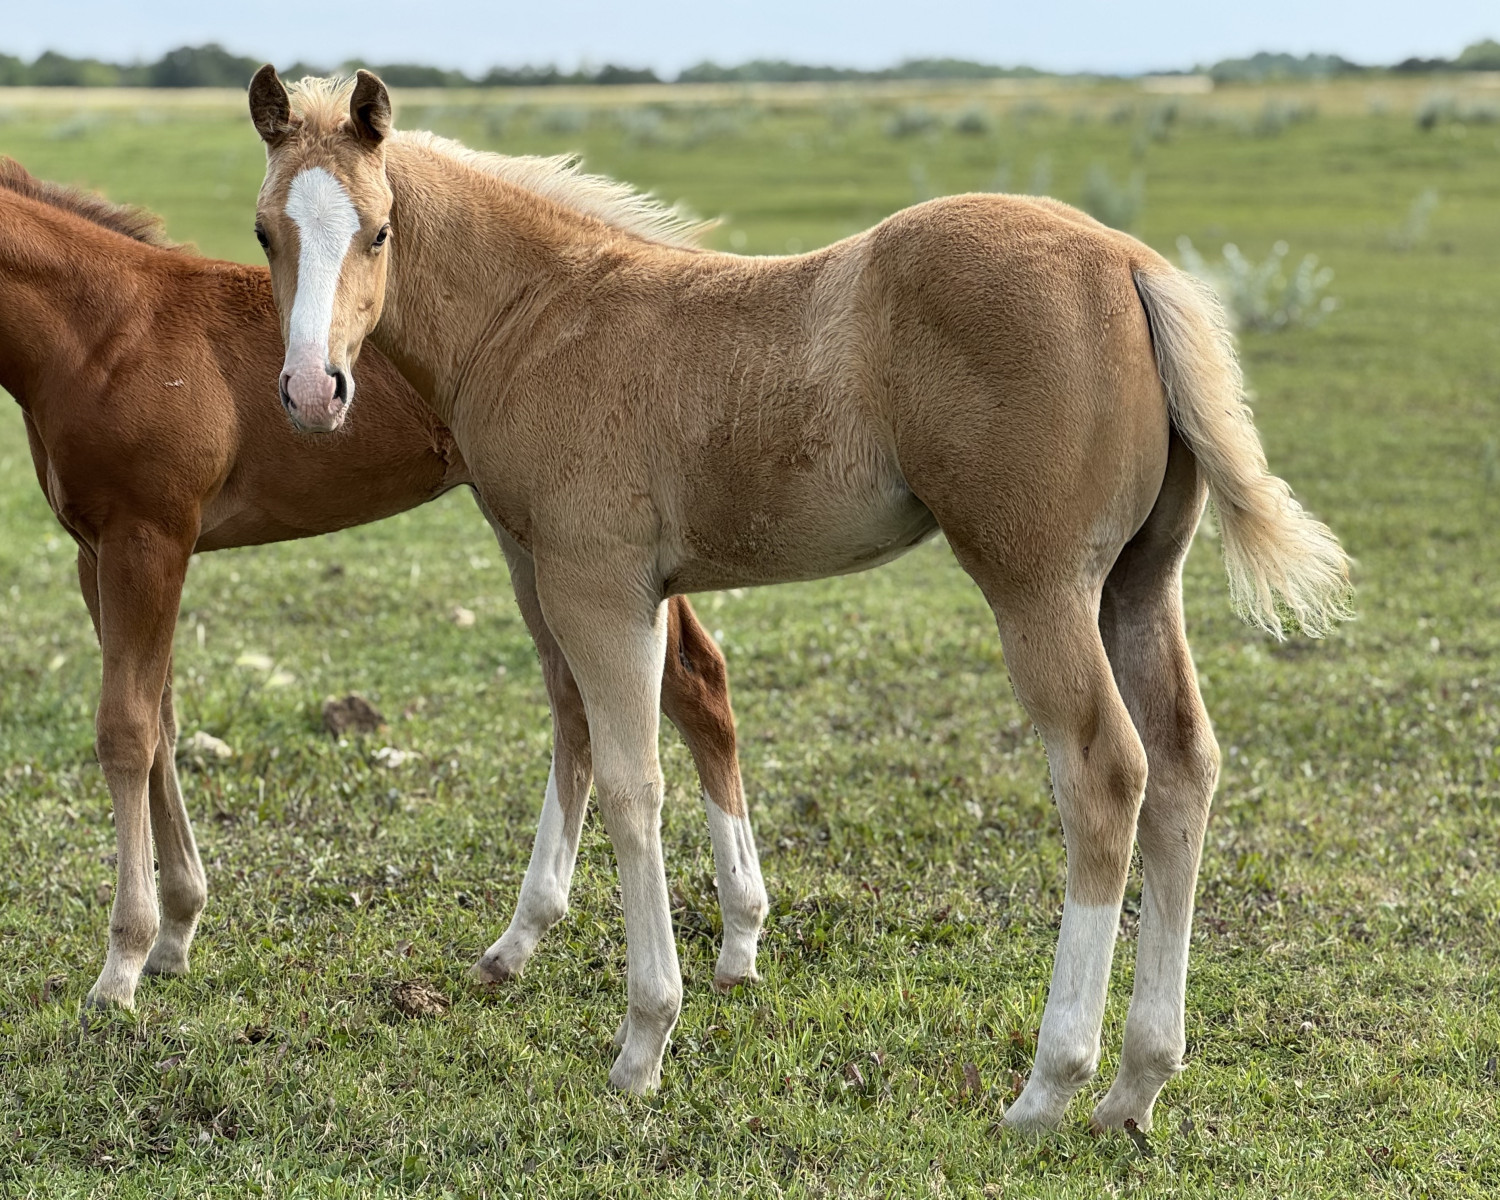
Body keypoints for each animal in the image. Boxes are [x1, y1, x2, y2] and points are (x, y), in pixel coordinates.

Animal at [0, 157, 765, 1016]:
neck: (106, 333)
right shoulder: (96, 553)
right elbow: (160, 722)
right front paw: (176, 931)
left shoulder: (148, 540)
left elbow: (127, 733)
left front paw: (123, 963)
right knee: (618, 694)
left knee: (690, 680)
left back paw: (735, 937)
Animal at [246, 68, 1350, 1130]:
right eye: (265, 231)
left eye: (378, 230)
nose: (311, 390)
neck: (539, 313)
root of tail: (1130, 261)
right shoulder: (574, 574)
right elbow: (594, 732)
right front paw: (553, 947)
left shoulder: (595, 581)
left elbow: (632, 783)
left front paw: (644, 1040)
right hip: (1138, 581)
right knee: (1184, 768)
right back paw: (1138, 1083)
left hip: (1037, 583)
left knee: (1106, 774)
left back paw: (1050, 1084)